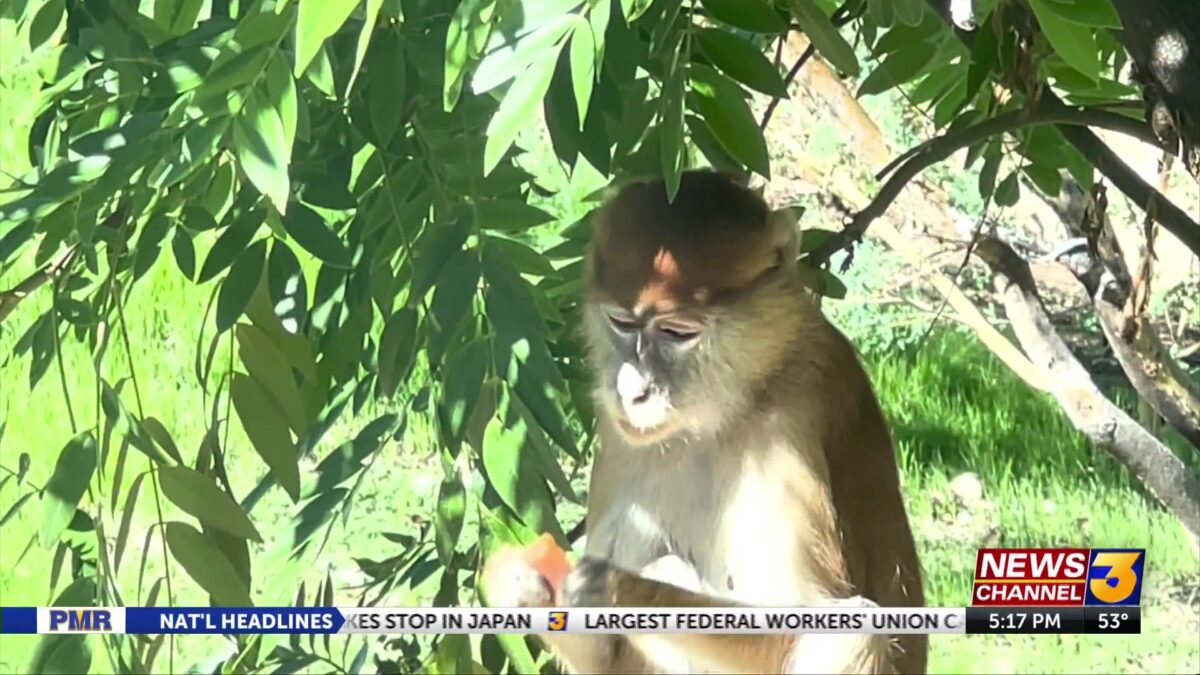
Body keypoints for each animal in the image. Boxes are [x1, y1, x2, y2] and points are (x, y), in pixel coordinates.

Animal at [482, 169, 926, 674]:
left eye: (678, 332)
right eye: (621, 323)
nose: (632, 392)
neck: (739, 396)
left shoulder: (788, 424)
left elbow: (812, 620)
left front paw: (615, 590)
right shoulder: (618, 432)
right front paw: (516, 583)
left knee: (854, 634)